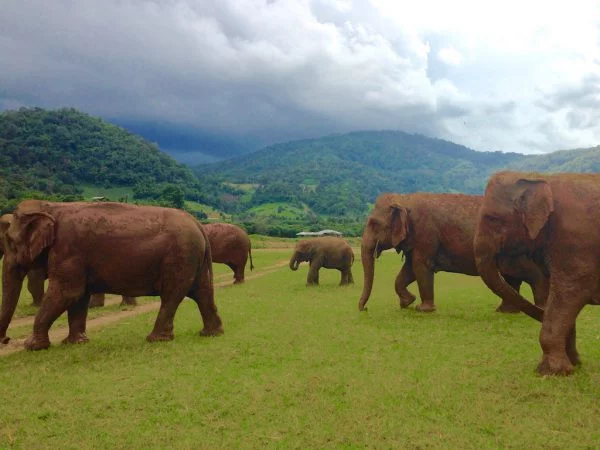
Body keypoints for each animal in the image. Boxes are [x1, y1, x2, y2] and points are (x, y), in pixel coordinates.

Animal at [0, 199, 224, 350]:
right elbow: (78, 297)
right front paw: (74, 343)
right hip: (192, 258)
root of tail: (197, 224)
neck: (51, 207)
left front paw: (32, 346)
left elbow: (67, 293)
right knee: (202, 292)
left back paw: (156, 339)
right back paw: (210, 334)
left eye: (10, 241)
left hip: (180, 257)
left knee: (172, 296)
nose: (6, 340)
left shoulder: (68, 250)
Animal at [356, 192, 548, 312]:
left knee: (528, 273)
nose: (364, 309)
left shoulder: (426, 234)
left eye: (373, 223)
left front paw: (422, 309)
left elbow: (421, 267)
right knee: (512, 276)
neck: (405, 198)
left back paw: (540, 309)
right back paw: (506, 311)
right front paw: (407, 302)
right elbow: (408, 271)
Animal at [474, 171, 600, 374]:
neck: (538, 178)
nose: (578, 362)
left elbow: (569, 294)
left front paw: (553, 372)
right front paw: (573, 364)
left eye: (493, 218)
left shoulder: (576, 243)